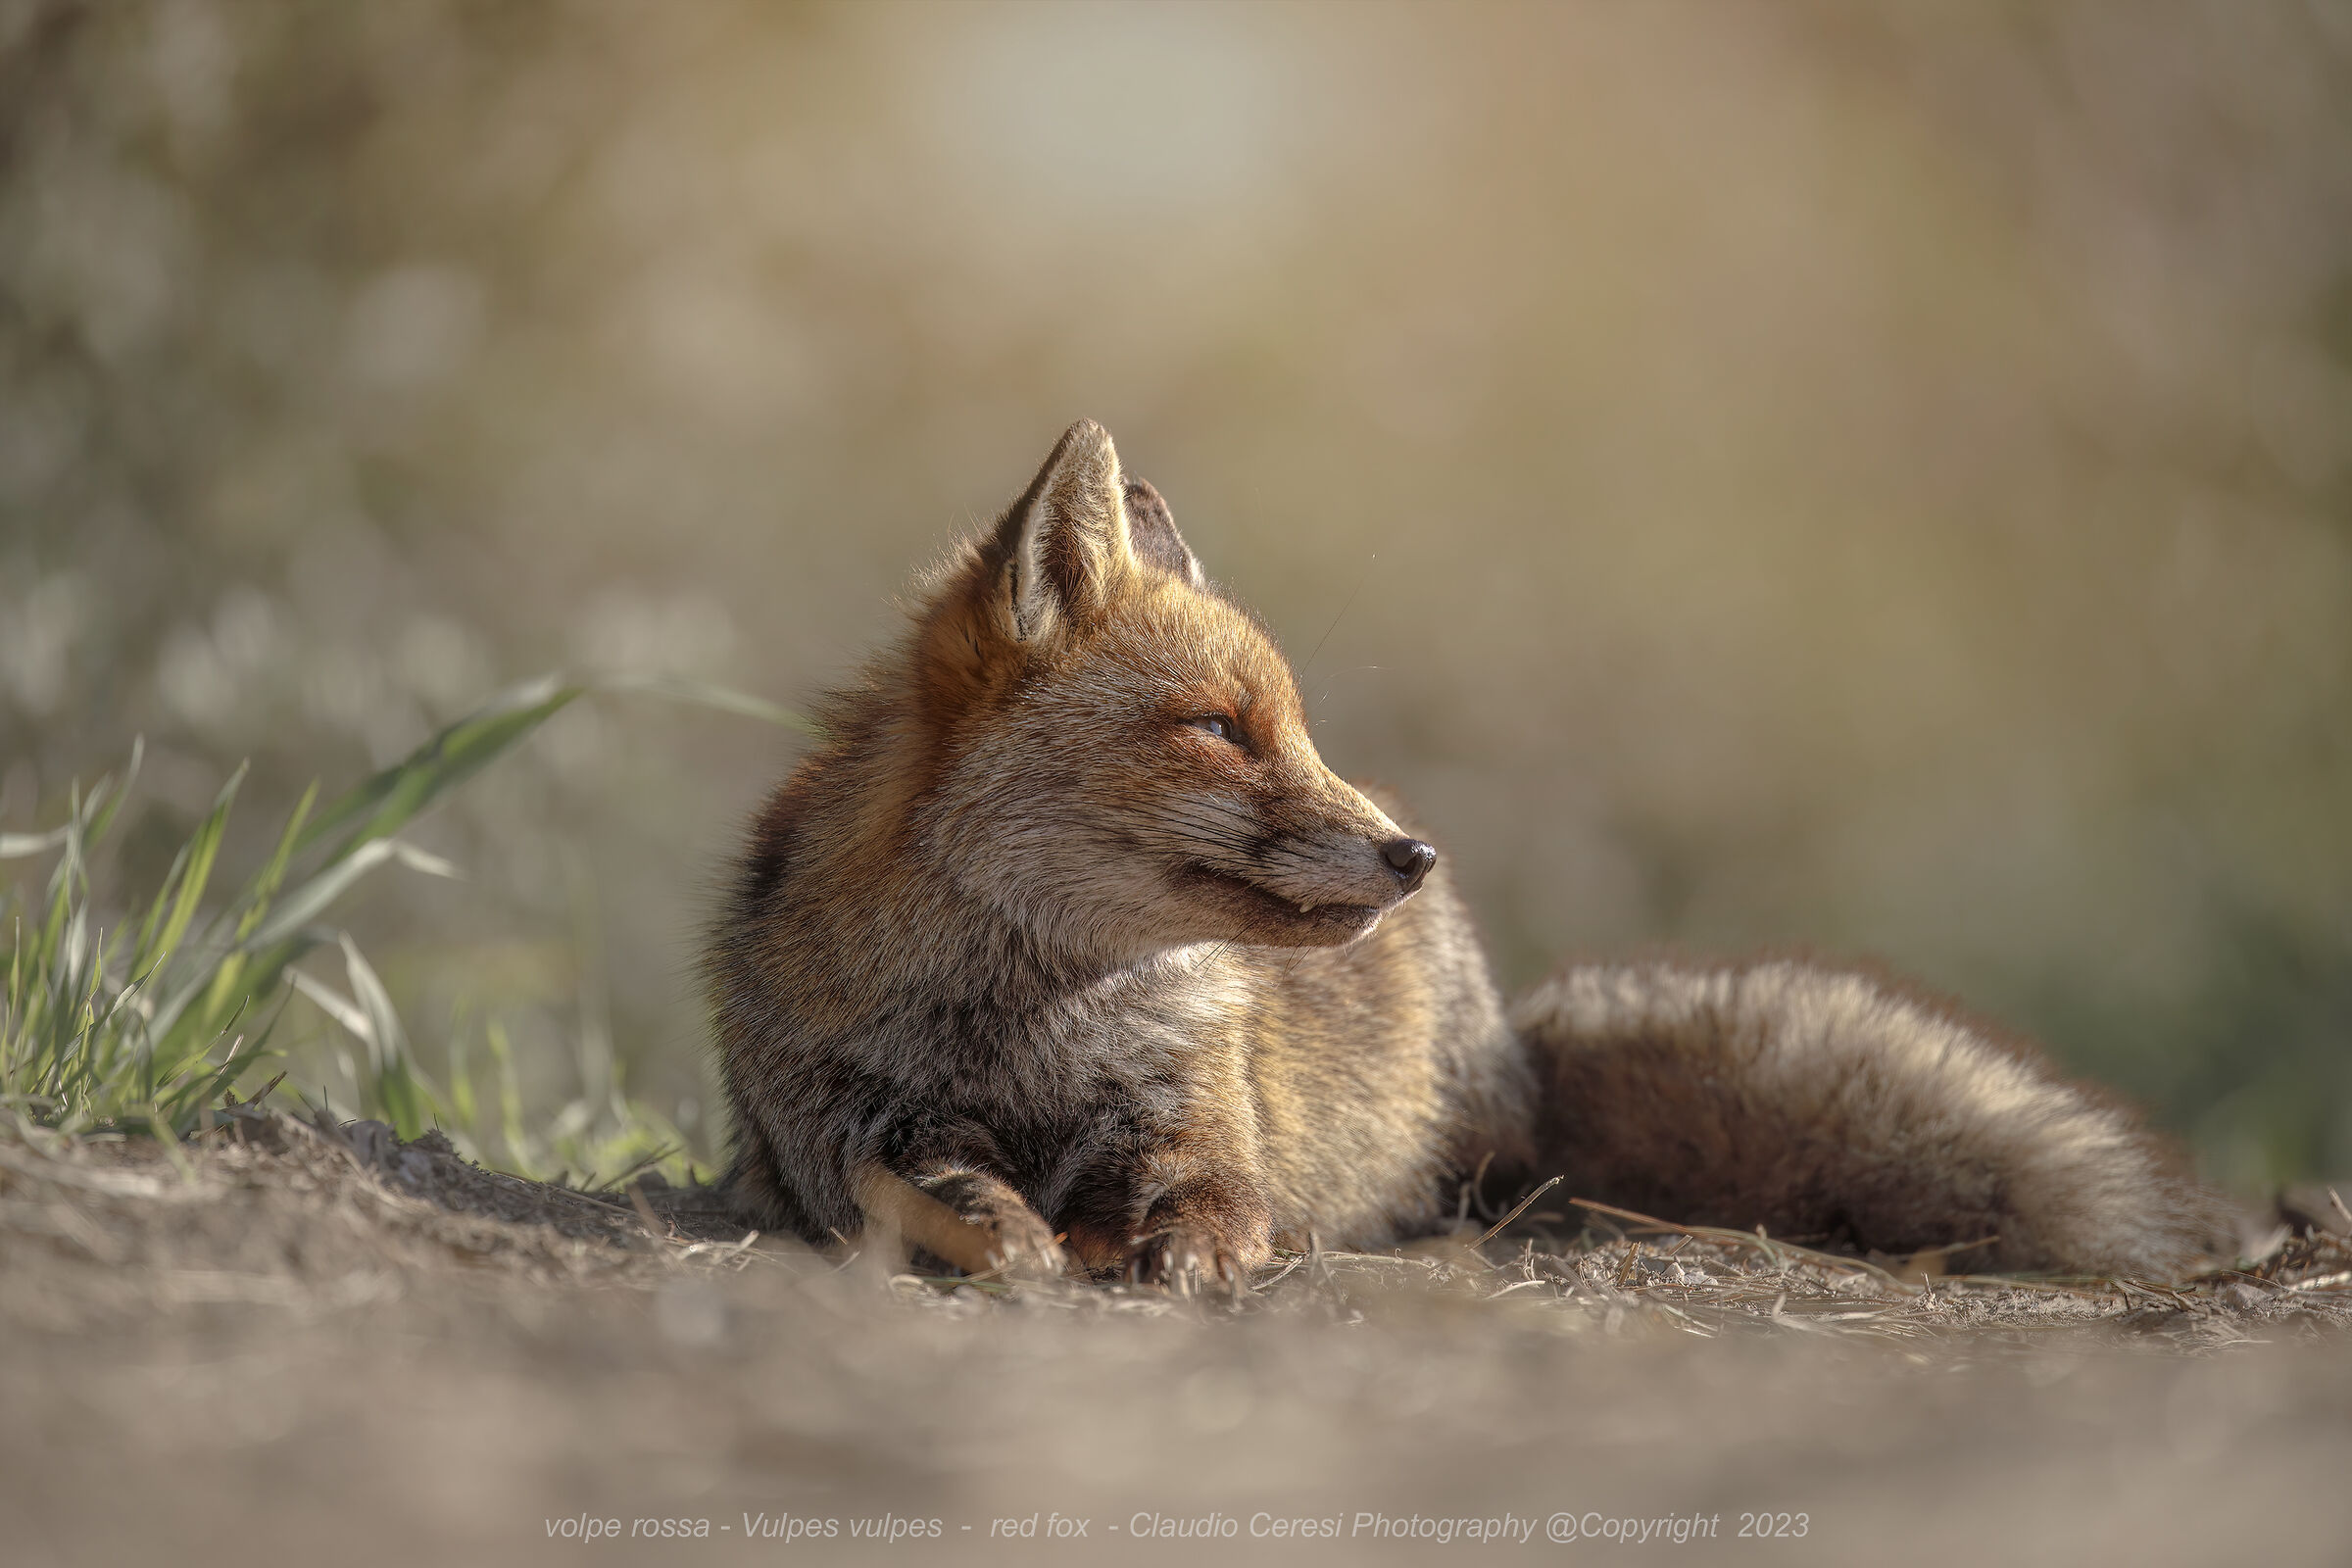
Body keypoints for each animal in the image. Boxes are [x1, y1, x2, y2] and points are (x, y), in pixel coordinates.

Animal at [705, 419, 2238, 1291]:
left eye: (1299, 727)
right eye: (1220, 728)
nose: (1412, 852)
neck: (1031, 1027)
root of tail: (1516, 1037)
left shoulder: (1195, 1119)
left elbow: (1215, 1196)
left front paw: (1194, 1253)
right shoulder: (850, 1133)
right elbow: (941, 1195)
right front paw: (1014, 1236)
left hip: (1471, 1140)